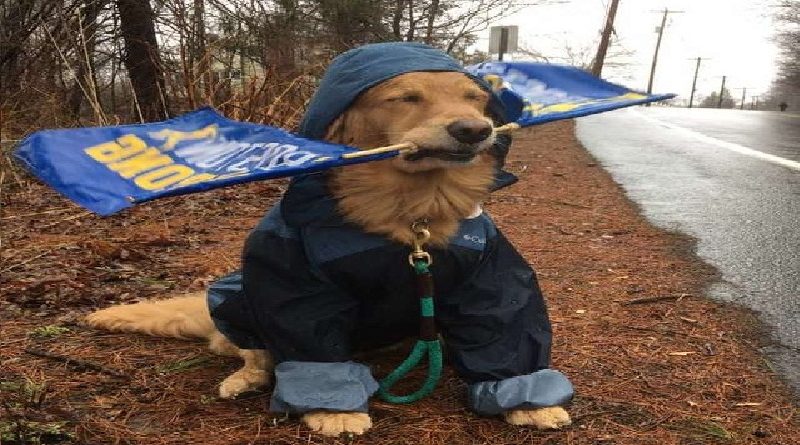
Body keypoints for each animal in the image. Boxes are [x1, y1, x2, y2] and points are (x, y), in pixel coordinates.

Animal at [84, 46, 572, 438]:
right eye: (407, 97)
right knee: (249, 352)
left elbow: (506, 328)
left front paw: (528, 399)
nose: (475, 129)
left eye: (473, 99)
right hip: (238, 296)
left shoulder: (488, 277)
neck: (410, 210)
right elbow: (311, 349)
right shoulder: (297, 286)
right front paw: (331, 410)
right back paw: (245, 378)